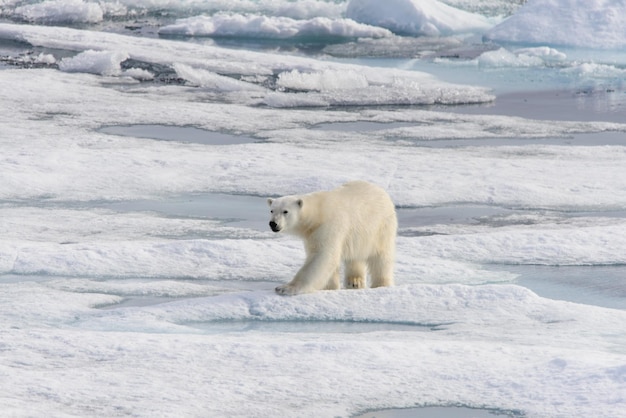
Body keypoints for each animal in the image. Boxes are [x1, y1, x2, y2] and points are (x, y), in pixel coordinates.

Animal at [266, 181, 394, 296]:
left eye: (285, 211)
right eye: (272, 210)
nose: (273, 223)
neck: (317, 214)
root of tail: (381, 191)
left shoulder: (329, 226)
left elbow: (322, 256)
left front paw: (285, 288)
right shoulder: (311, 235)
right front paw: (330, 287)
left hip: (380, 227)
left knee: (381, 257)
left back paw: (381, 284)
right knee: (355, 256)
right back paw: (354, 281)